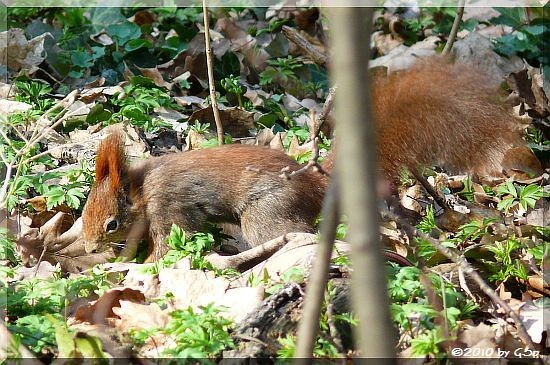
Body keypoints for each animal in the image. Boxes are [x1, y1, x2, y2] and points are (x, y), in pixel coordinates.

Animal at [81, 57, 544, 262]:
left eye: (111, 223)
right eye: (85, 212)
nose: (87, 246)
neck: (141, 186)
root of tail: (319, 182)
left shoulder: (170, 207)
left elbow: (169, 243)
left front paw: (143, 269)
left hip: (267, 215)